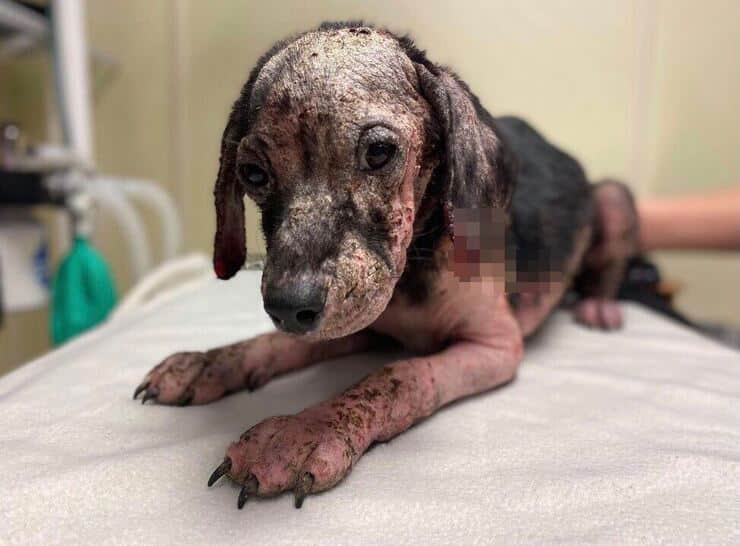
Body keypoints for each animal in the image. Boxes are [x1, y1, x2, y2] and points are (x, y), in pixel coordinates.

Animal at [134, 22, 639, 509]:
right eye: (253, 174)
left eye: (378, 153)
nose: (288, 307)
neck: (412, 269)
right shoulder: (358, 319)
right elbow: (279, 343)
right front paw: (212, 363)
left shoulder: (495, 346)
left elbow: (396, 376)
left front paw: (301, 434)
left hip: (613, 200)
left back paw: (598, 305)